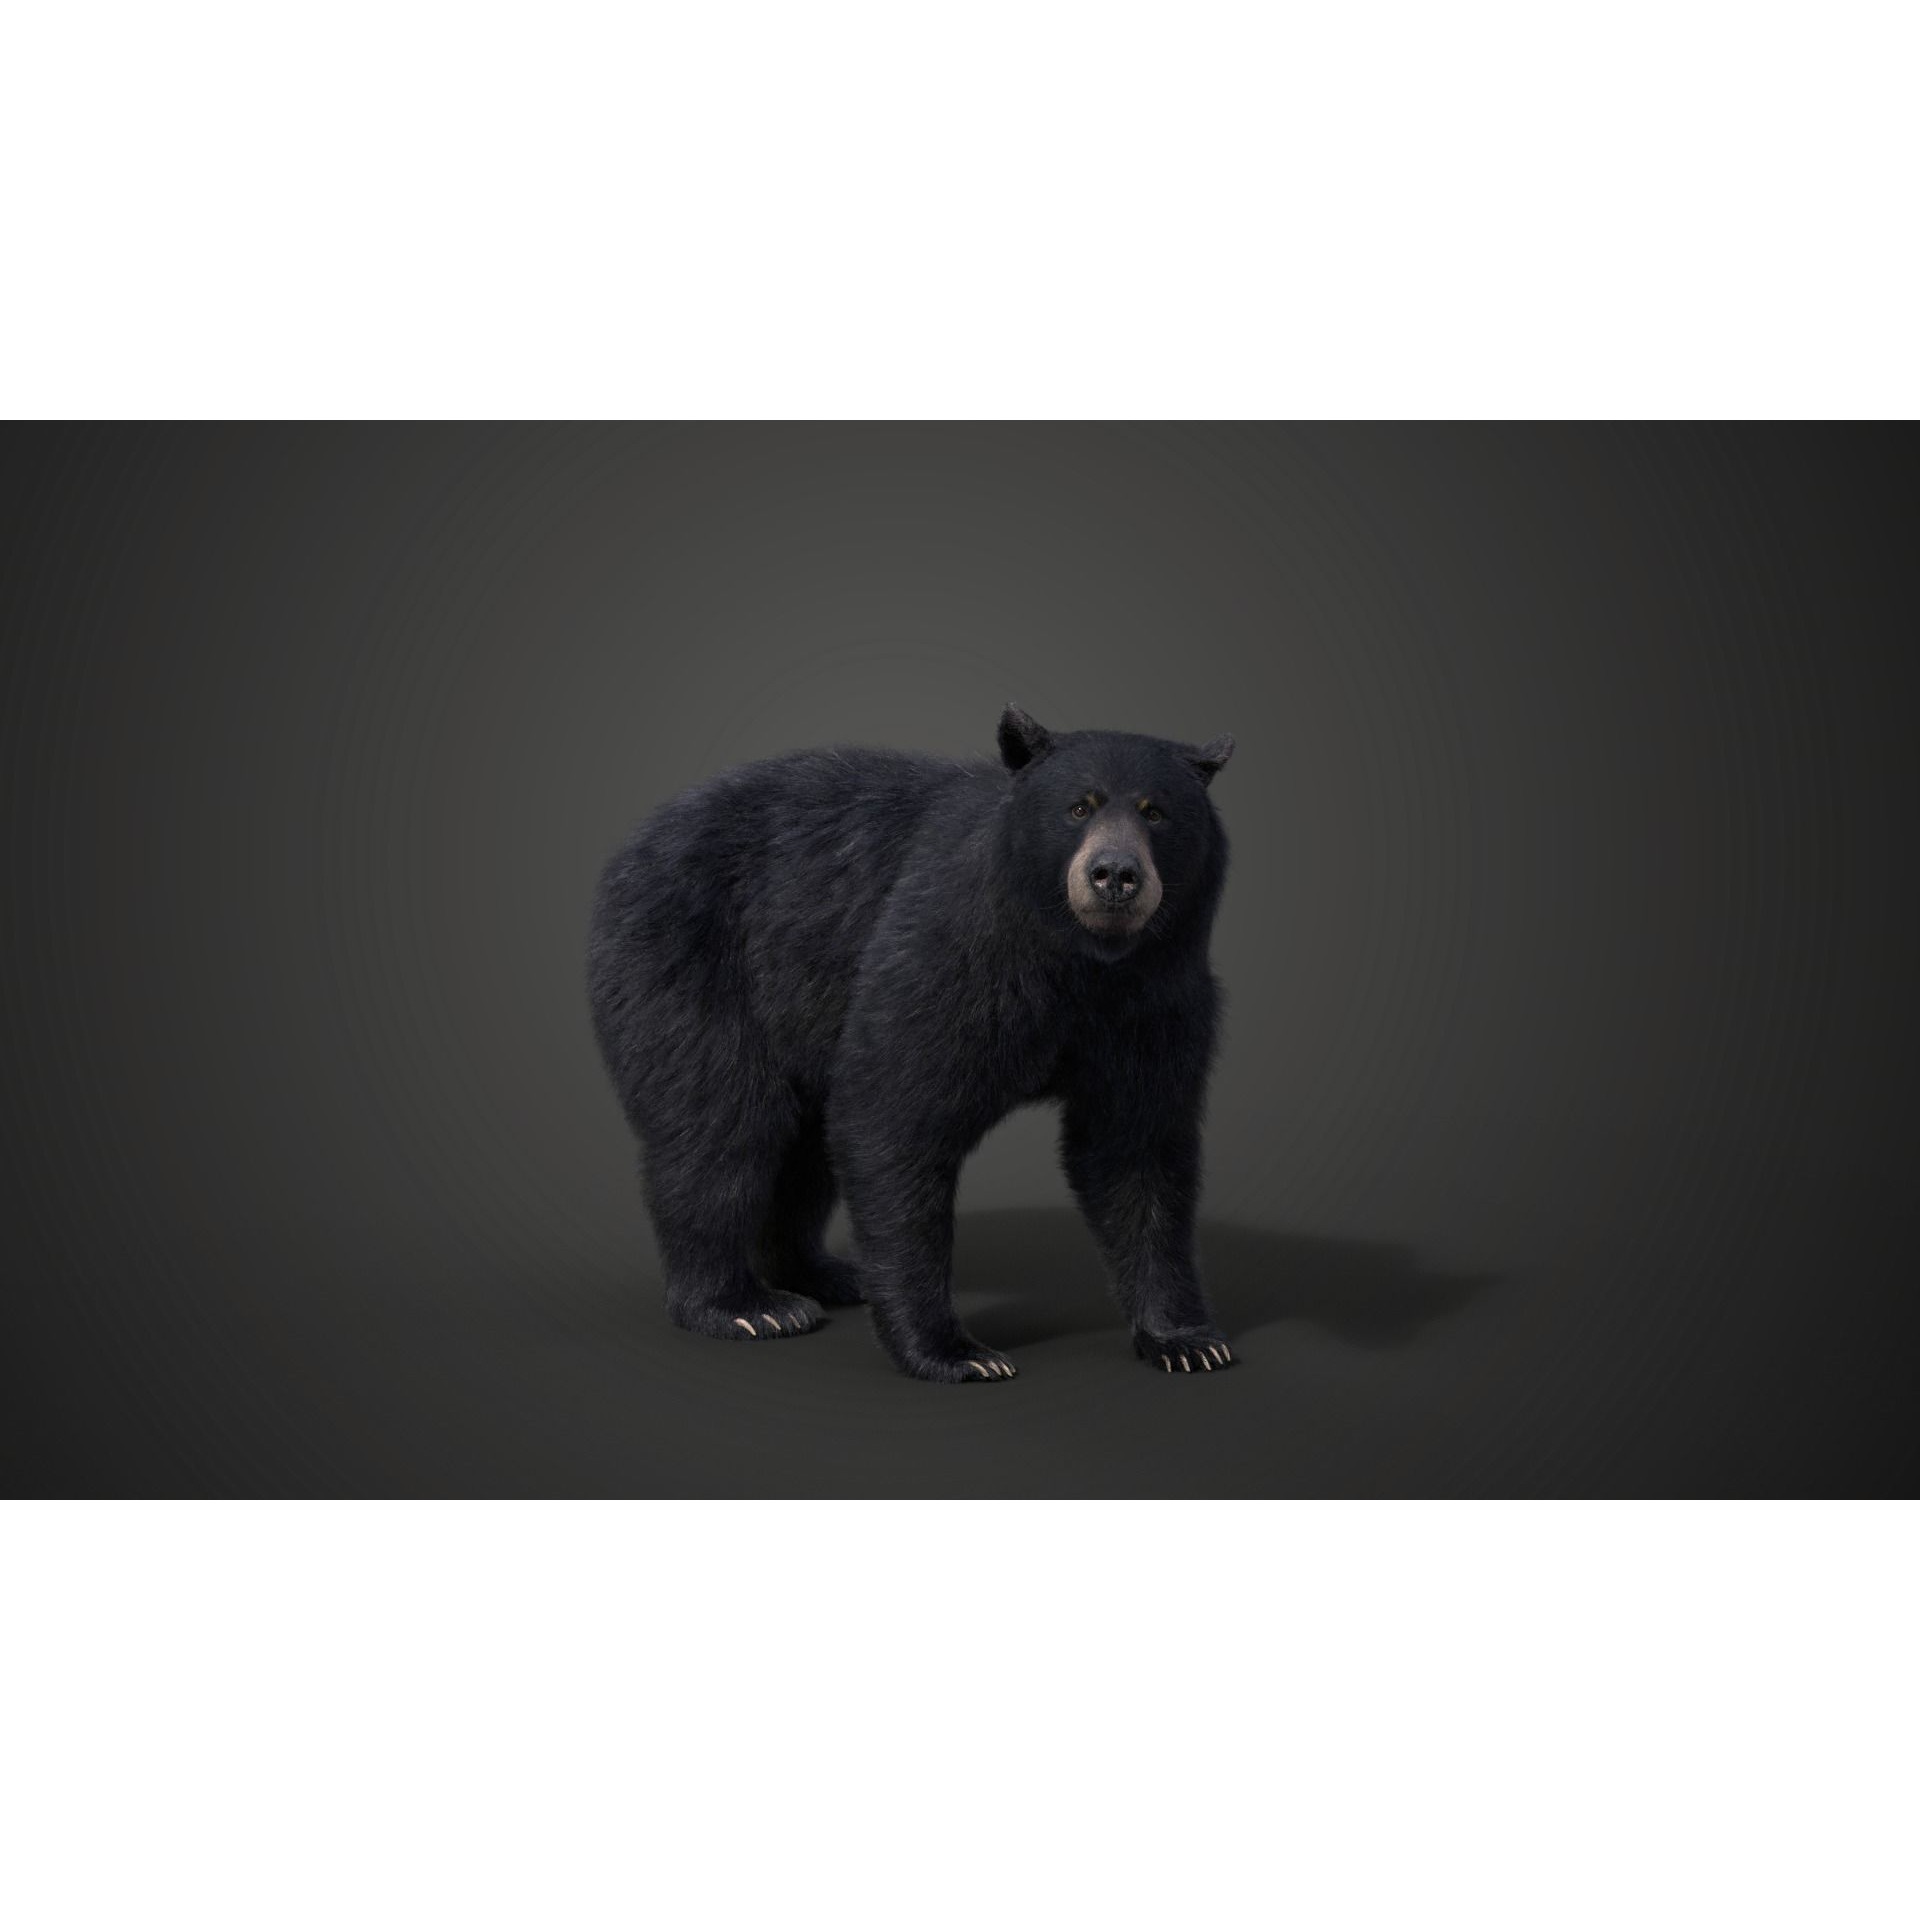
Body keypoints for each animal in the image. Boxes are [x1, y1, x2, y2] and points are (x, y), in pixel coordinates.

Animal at [586, 705, 1236, 1383]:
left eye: (1155, 811)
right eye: (1079, 807)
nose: (1114, 875)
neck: (1083, 963)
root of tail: (631, 846)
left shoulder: (1157, 1001)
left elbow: (1137, 1148)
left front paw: (1188, 1339)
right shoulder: (953, 956)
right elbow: (895, 1114)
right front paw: (957, 1351)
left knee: (804, 1145)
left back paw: (824, 1275)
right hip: (694, 961)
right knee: (723, 1124)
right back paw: (744, 1305)